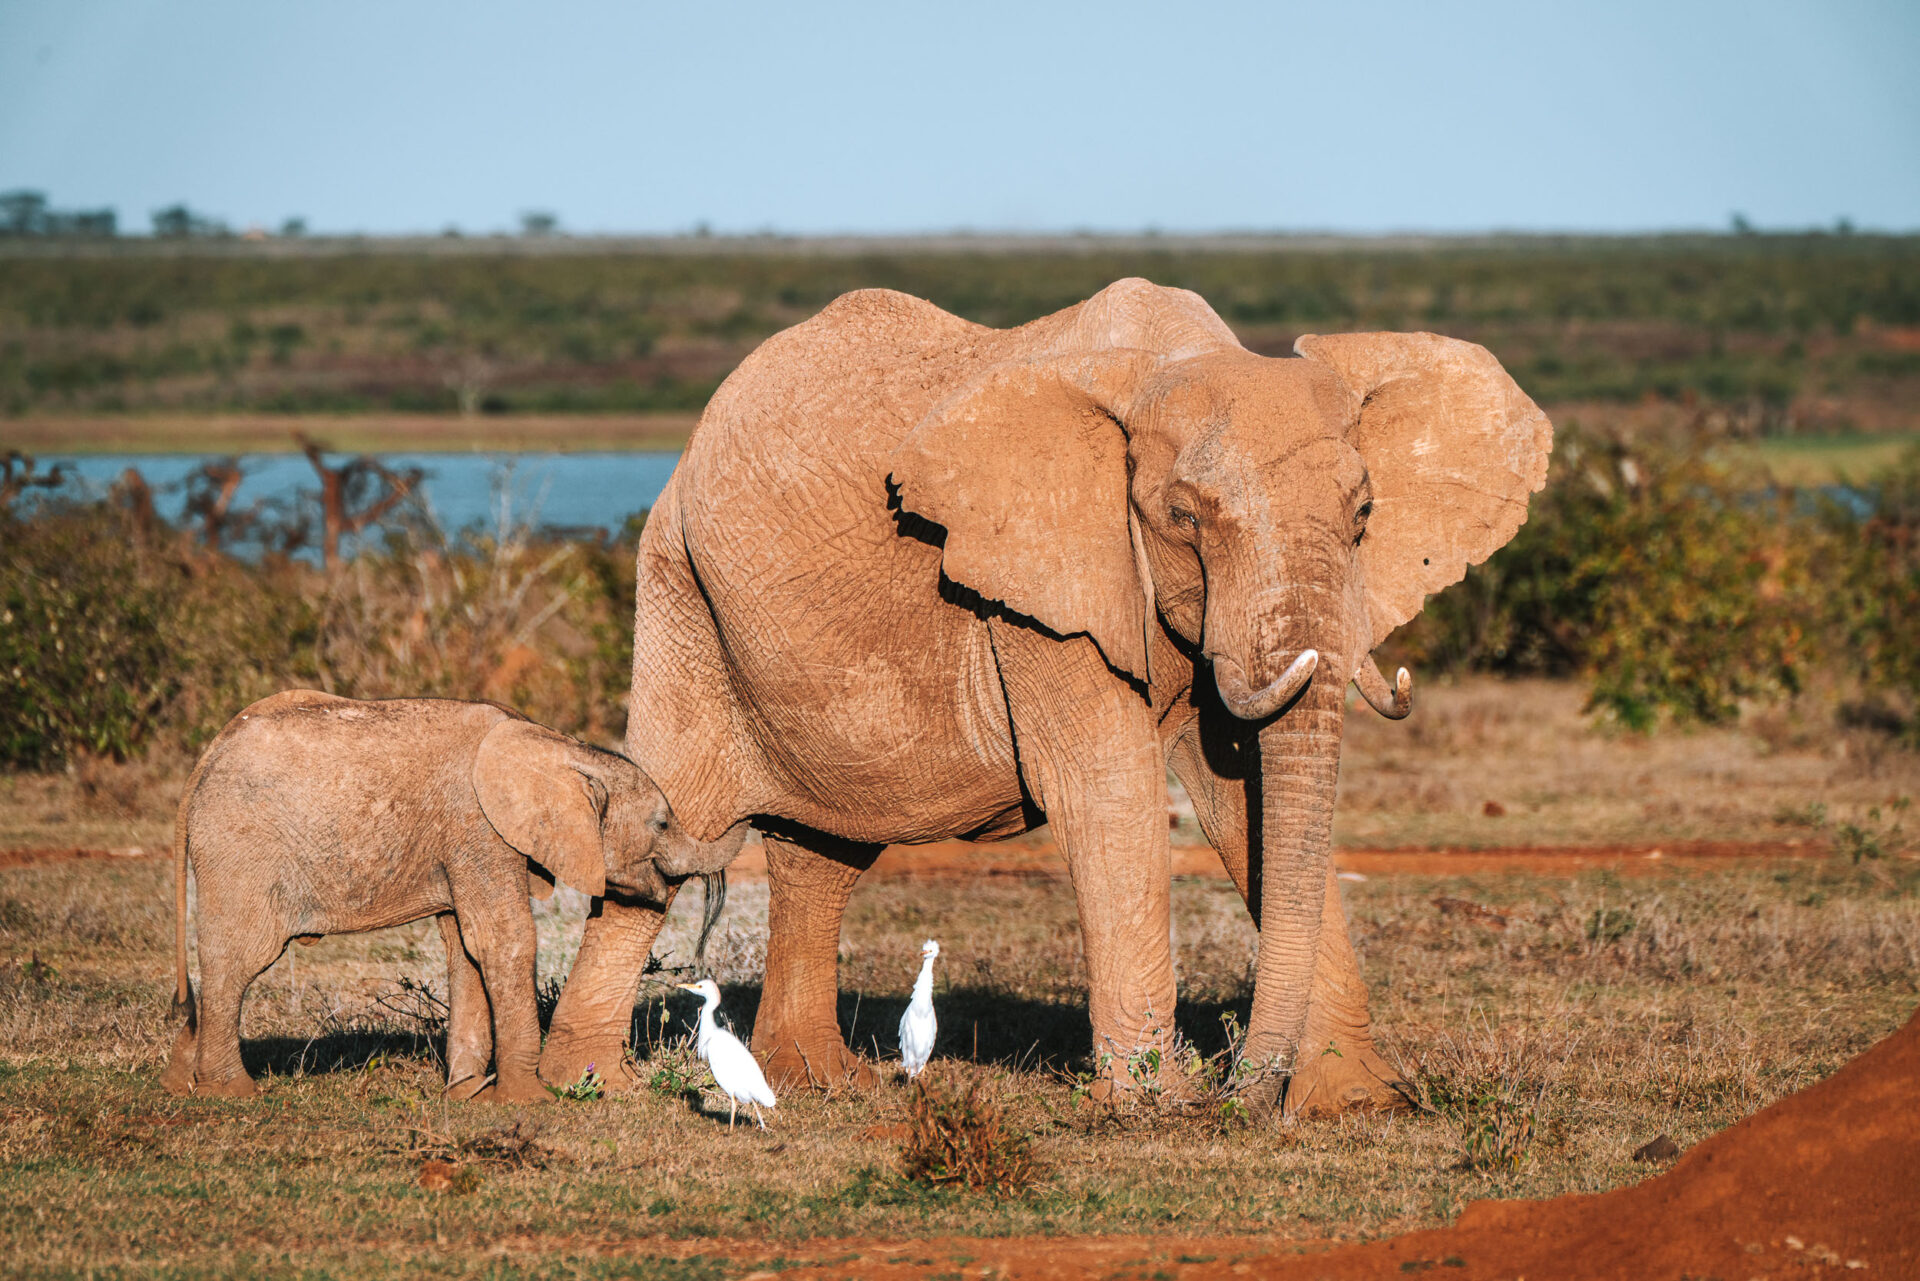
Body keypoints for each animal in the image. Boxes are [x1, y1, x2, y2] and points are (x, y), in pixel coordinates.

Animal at [161, 691, 744, 1106]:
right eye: (661, 823)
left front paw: (467, 1095)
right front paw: (529, 1100)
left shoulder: (460, 844)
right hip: (239, 849)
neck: (559, 747)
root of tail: (202, 762)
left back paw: (179, 1085)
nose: (755, 817)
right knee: (238, 959)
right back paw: (231, 1092)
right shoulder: (479, 829)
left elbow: (466, 950)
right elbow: (504, 941)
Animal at [537, 278, 1543, 1113]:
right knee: (673, 814)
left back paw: (819, 1081)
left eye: (1365, 515)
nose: (1239, 1088)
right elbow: (1109, 791)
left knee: (824, 855)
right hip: (681, 592)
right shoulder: (1034, 589)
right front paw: (1156, 1103)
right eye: (1183, 517)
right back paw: (584, 1084)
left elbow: (1245, 801)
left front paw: (1354, 1102)